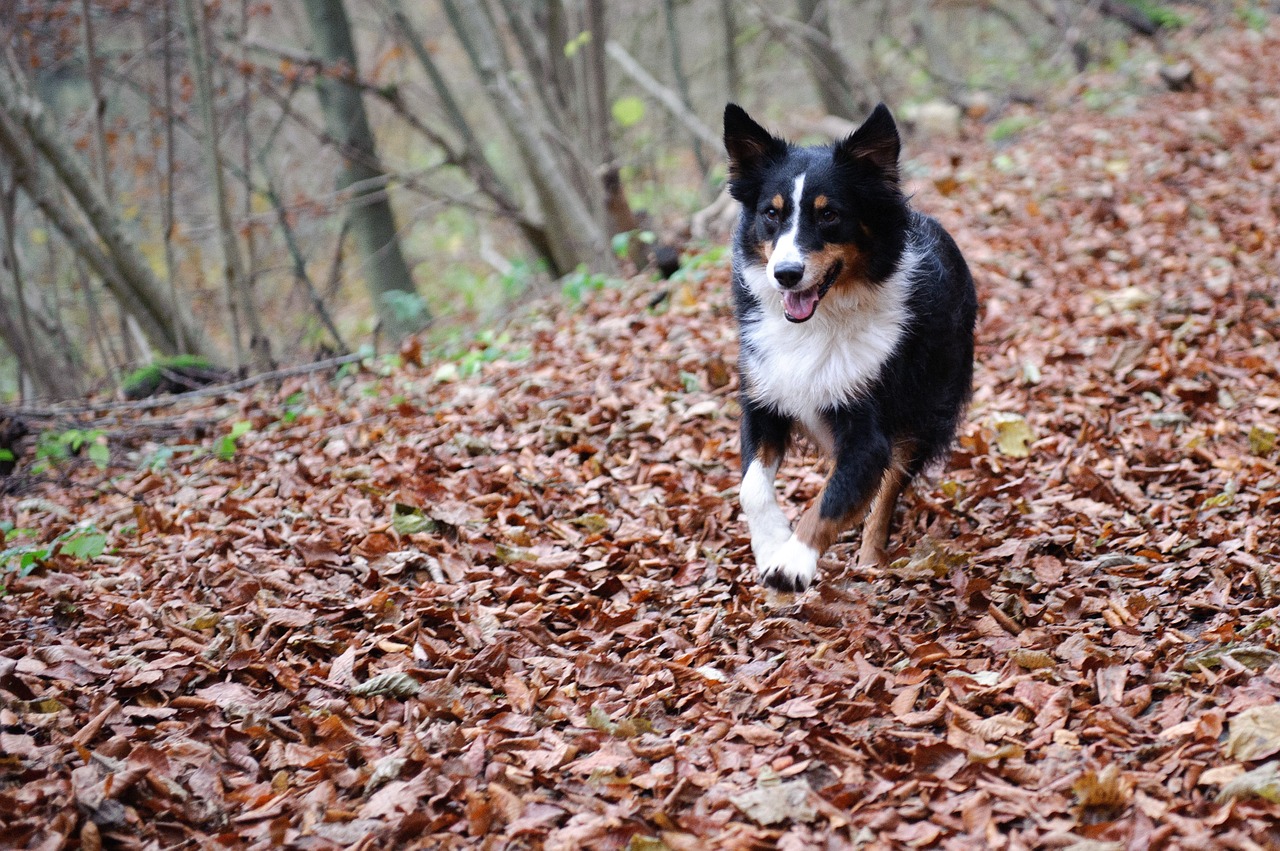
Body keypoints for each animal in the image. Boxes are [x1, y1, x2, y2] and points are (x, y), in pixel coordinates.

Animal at [721, 103, 977, 591]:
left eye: (829, 215)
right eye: (770, 214)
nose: (785, 274)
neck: (821, 321)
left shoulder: (867, 431)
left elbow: (833, 499)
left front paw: (793, 561)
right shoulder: (764, 400)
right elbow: (752, 487)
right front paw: (771, 544)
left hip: (924, 411)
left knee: (888, 490)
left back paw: (872, 558)